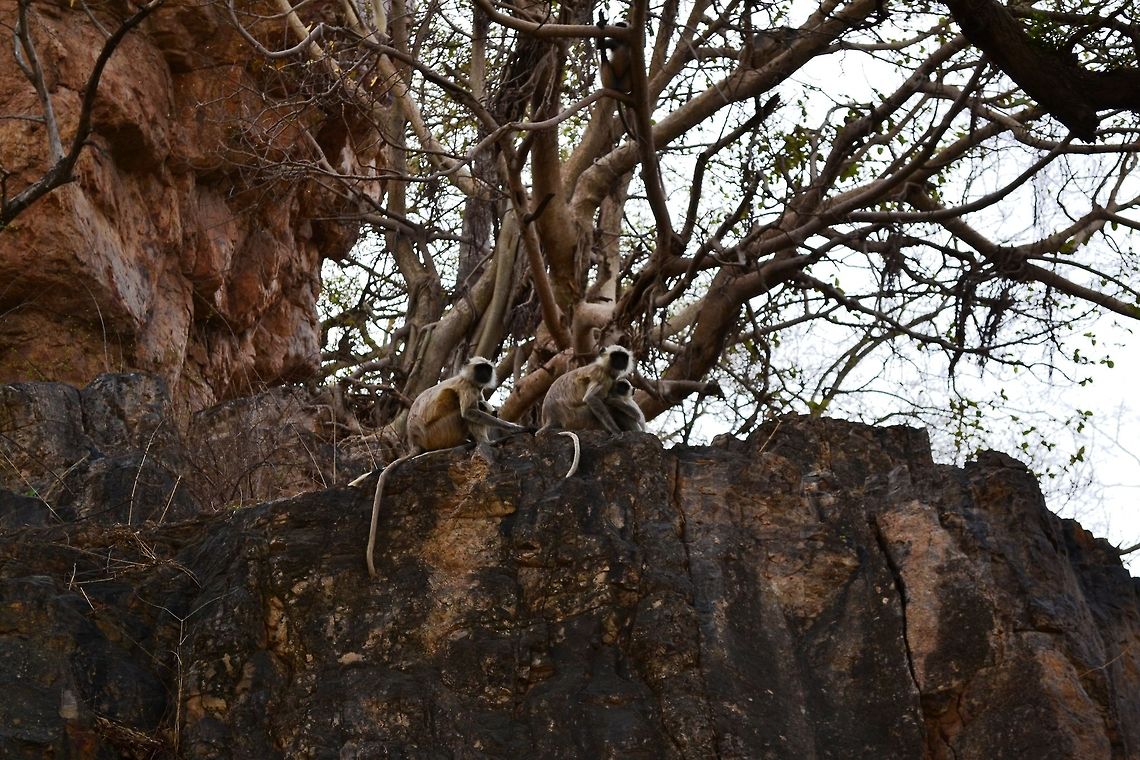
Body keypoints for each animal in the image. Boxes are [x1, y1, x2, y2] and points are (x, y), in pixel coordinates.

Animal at [354, 357, 526, 577]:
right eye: (480, 369)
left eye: (487, 369)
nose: (484, 375)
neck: (468, 379)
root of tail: (415, 441)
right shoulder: (468, 387)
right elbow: (469, 412)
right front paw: (514, 428)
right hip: (440, 431)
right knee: (464, 412)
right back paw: (485, 442)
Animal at [538, 345, 633, 477]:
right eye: (616, 356)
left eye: (623, 357)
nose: (620, 362)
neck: (605, 368)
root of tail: (550, 418)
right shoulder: (601, 376)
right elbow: (591, 398)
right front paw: (617, 432)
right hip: (577, 417)